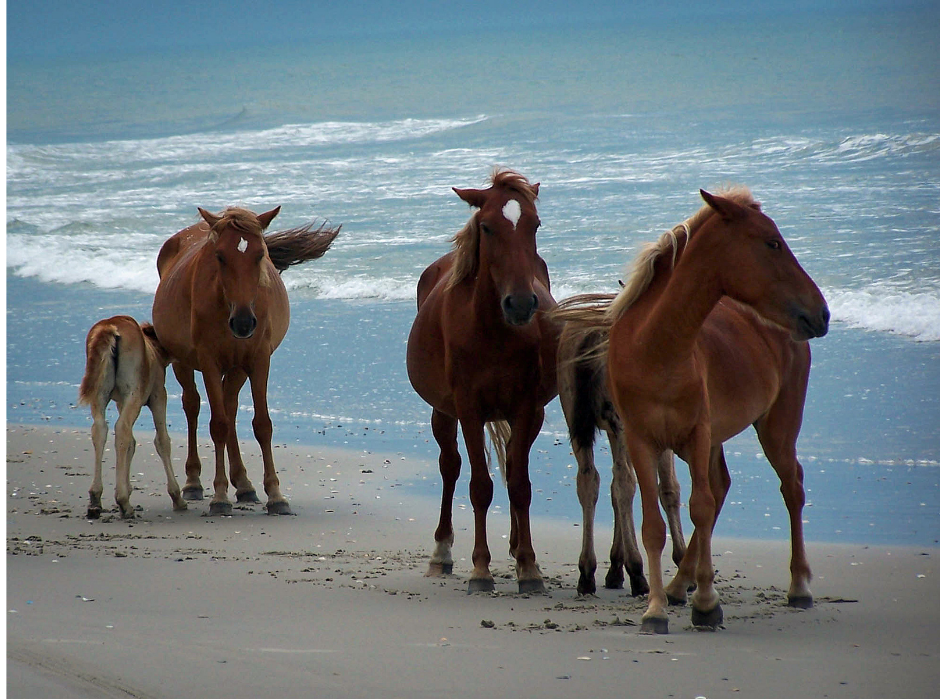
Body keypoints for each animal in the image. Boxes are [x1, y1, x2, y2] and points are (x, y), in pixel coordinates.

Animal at [79, 314, 187, 516]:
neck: (154, 348)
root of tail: (109, 328)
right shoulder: (158, 394)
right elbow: (162, 440)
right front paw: (177, 497)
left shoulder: (120, 401)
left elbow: (131, 443)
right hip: (134, 393)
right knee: (121, 428)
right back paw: (123, 502)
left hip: (100, 393)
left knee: (100, 429)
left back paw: (96, 499)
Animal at [154, 205, 342, 516]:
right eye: (219, 256)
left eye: (260, 254)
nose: (243, 323)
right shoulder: (208, 361)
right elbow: (217, 425)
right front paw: (219, 497)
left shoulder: (258, 359)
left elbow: (261, 424)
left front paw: (275, 495)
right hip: (184, 362)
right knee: (192, 406)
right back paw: (194, 482)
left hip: (237, 368)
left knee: (230, 407)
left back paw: (244, 485)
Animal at [404, 168, 560, 592]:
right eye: (487, 227)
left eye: (535, 224)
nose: (521, 304)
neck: (492, 330)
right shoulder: (468, 408)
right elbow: (479, 487)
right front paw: (480, 569)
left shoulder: (526, 406)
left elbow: (519, 485)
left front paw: (529, 567)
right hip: (443, 412)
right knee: (450, 465)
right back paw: (441, 554)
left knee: (512, 467)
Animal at [560, 310, 684, 596]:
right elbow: (668, 488)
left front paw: (615, 568)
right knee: (625, 481)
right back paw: (637, 572)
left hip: (576, 418)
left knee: (590, 480)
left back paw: (588, 571)